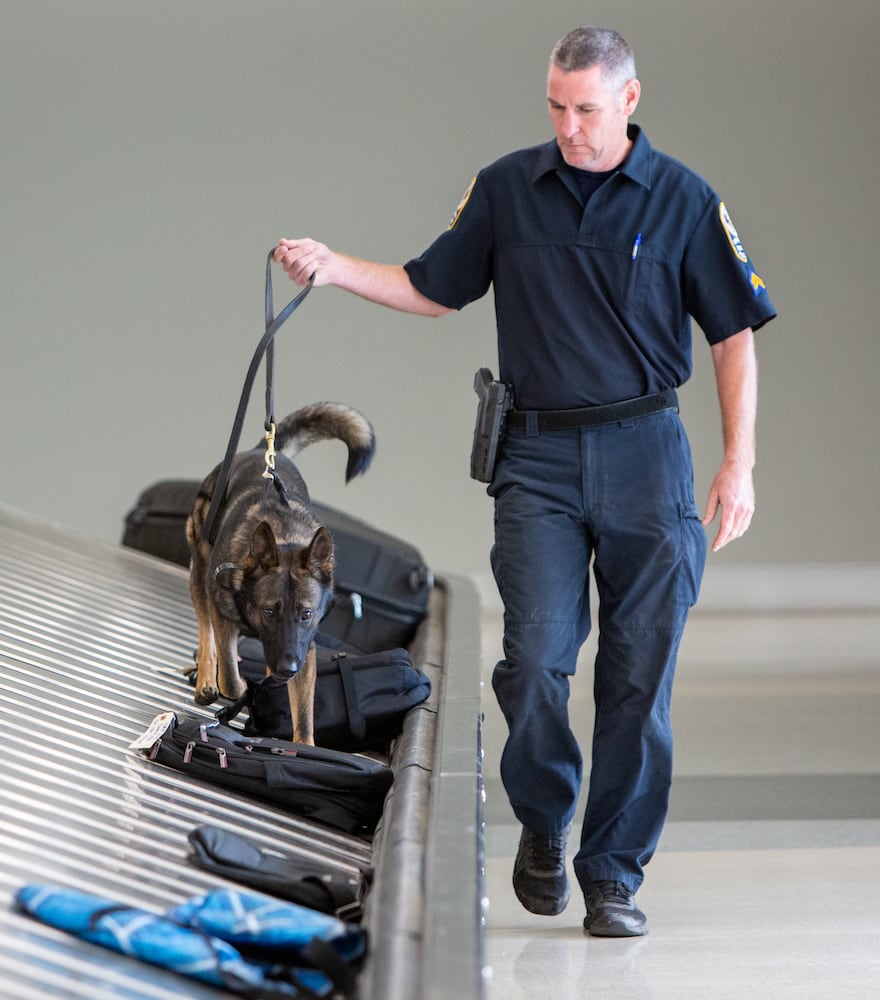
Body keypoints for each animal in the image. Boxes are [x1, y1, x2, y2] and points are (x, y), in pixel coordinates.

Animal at [187, 404, 372, 744]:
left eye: (306, 614)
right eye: (269, 612)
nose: (288, 668)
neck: (284, 537)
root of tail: (261, 451)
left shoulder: (304, 649)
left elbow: (304, 713)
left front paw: (305, 745)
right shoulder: (223, 613)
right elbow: (230, 676)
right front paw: (241, 689)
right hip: (200, 571)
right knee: (206, 633)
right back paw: (206, 680)